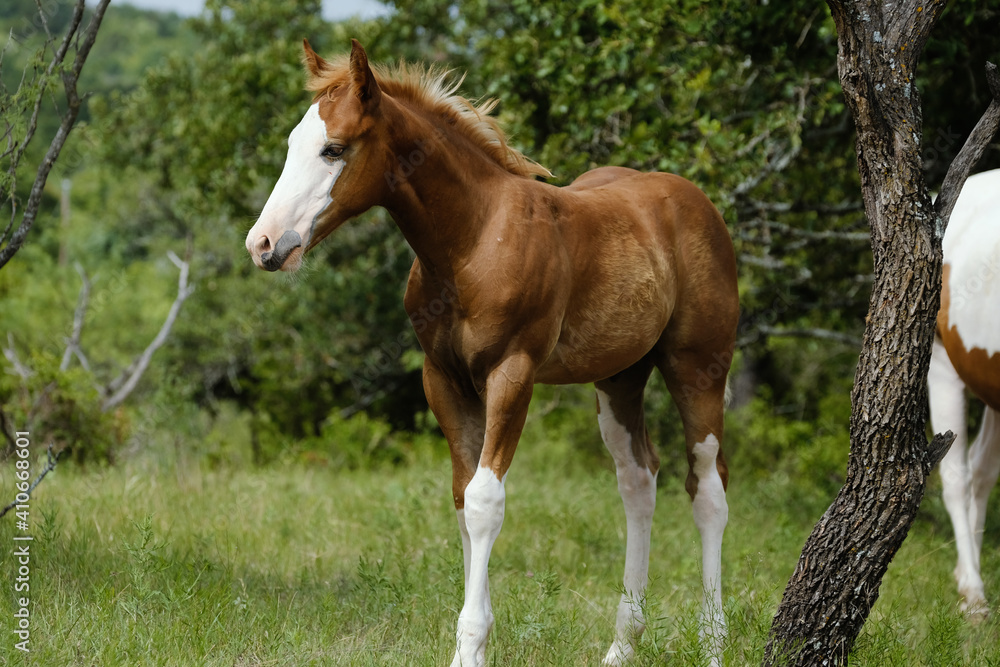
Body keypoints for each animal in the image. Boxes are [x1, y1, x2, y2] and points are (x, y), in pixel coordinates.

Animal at [245, 39, 739, 666]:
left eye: (334, 149)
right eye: (292, 144)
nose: (263, 244)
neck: (473, 240)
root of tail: (698, 201)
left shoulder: (513, 372)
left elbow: (485, 500)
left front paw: (470, 644)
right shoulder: (443, 378)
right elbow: (462, 498)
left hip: (698, 365)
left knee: (708, 488)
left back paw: (713, 643)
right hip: (621, 375)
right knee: (638, 480)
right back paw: (621, 646)